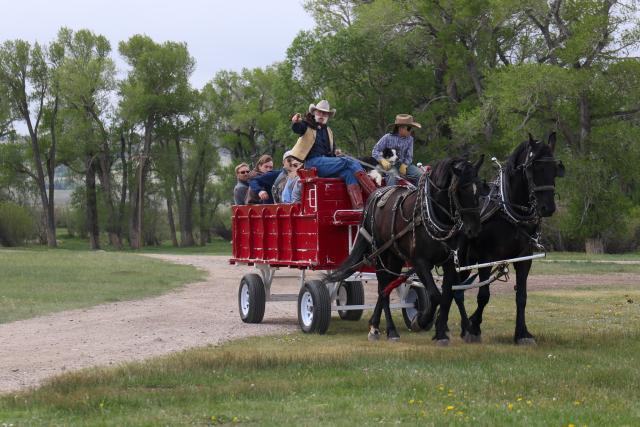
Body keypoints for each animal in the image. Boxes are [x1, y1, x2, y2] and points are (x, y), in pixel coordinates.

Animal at [322, 156, 482, 344]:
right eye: (460, 189)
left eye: (480, 187)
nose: (474, 229)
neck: (431, 214)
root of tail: (376, 195)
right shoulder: (420, 263)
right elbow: (435, 295)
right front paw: (421, 321)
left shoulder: (449, 262)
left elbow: (447, 296)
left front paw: (441, 333)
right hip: (381, 256)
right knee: (383, 289)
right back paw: (389, 330)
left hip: (395, 257)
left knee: (385, 288)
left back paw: (375, 325)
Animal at [450, 132, 564, 346]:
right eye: (533, 168)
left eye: (555, 169)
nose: (548, 208)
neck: (508, 210)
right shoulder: (486, 257)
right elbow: (483, 295)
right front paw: (474, 327)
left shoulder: (524, 257)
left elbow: (521, 296)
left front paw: (522, 333)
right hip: (460, 258)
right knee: (455, 289)